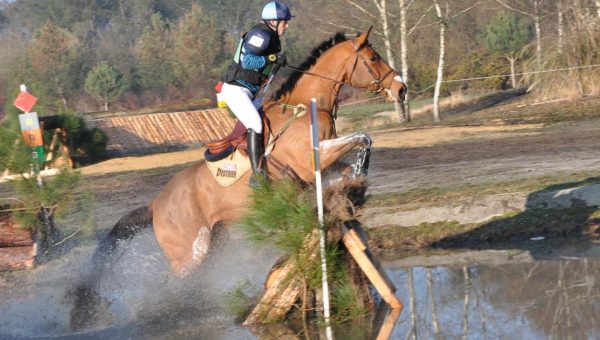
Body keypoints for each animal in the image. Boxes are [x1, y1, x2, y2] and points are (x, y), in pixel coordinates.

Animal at [86, 27, 406, 278]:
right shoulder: (311, 159)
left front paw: (353, 186)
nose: (401, 89)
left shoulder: (322, 163)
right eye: (374, 58)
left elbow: (353, 156)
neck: (308, 106)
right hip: (190, 254)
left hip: (214, 242)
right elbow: (363, 136)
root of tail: (155, 204)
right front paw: (358, 181)